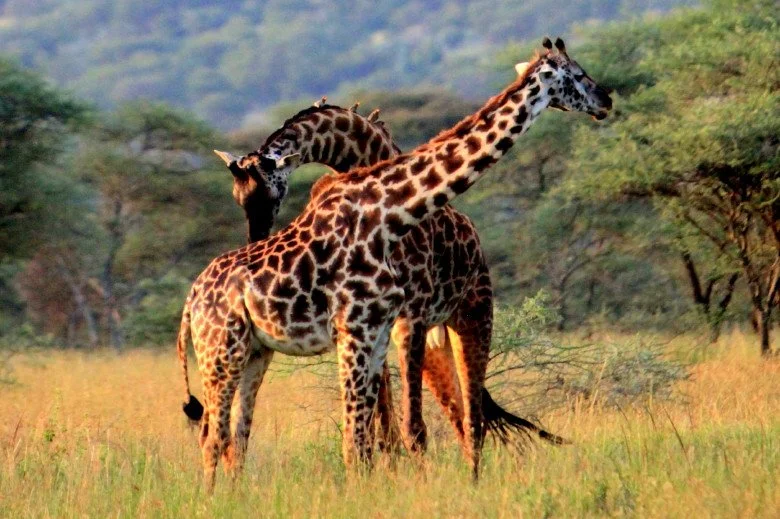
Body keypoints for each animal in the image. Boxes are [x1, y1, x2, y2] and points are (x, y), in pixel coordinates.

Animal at [213, 99, 566, 463]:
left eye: (270, 193)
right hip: (433, 339)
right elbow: (381, 424)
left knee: (468, 417)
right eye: (238, 197)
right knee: (453, 412)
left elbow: (410, 426)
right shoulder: (374, 321)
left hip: (467, 316)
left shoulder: (409, 317)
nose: (256, 240)